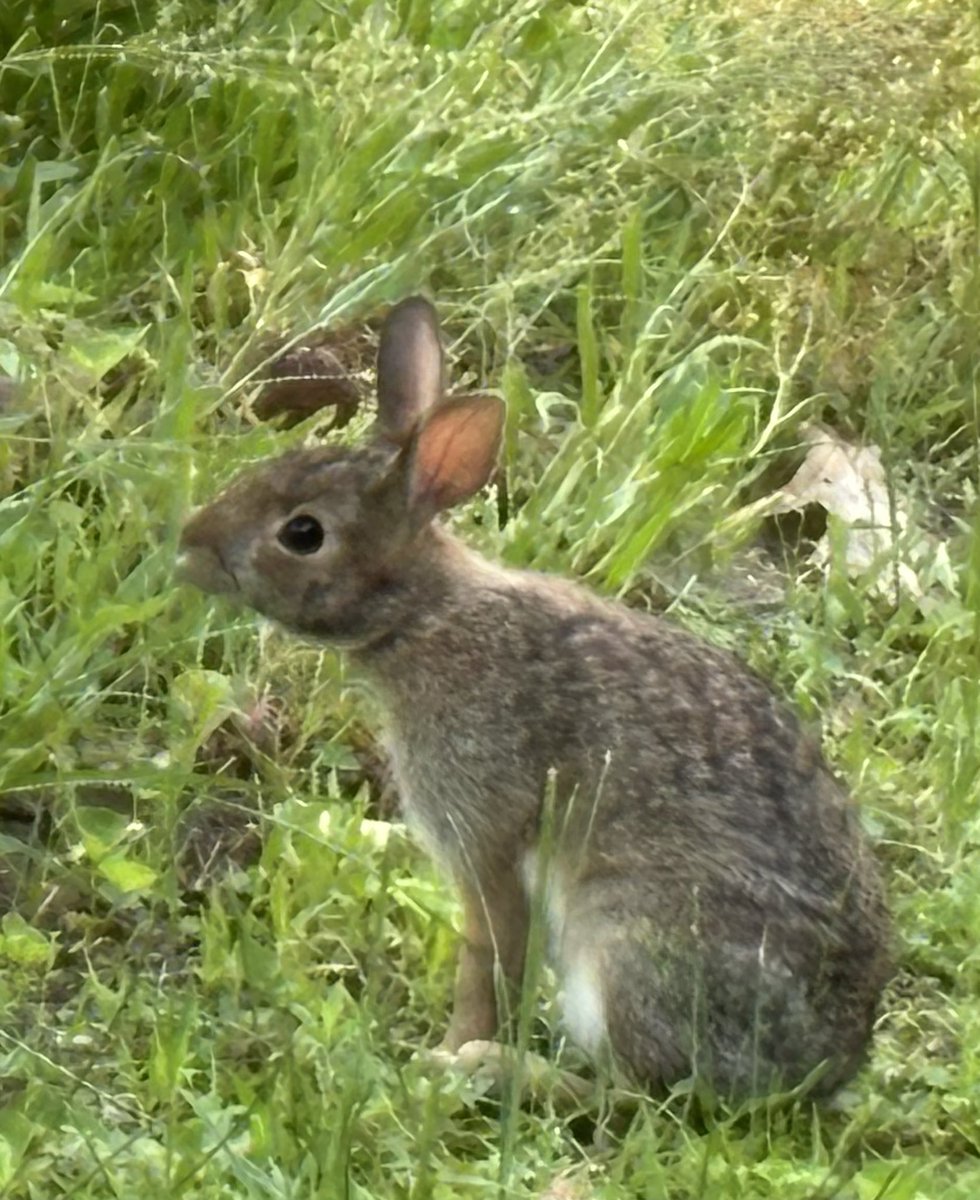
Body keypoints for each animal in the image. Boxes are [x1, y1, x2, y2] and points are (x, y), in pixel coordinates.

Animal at [179, 295, 891, 1100]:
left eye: (303, 533)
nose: (189, 546)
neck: (424, 616)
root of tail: (824, 1068)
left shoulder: (481, 830)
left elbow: (487, 956)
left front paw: (446, 1056)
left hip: (628, 939)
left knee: (629, 1091)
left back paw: (500, 1069)